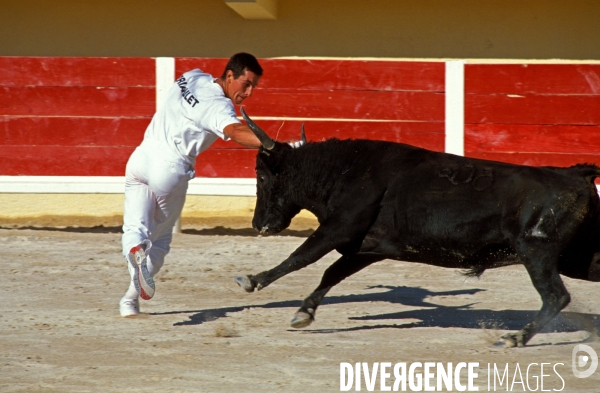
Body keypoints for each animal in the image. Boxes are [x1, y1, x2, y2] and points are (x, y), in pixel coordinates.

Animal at [234, 108, 600, 346]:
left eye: (261, 176)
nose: (258, 224)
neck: (341, 170)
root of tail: (574, 173)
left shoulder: (340, 227)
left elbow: (301, 257)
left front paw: (251, 280)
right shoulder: (365, 247)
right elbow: (331, 273)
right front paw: (304, 313)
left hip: (537, 251)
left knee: (555, 295)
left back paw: (515, 338)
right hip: (575, 257)